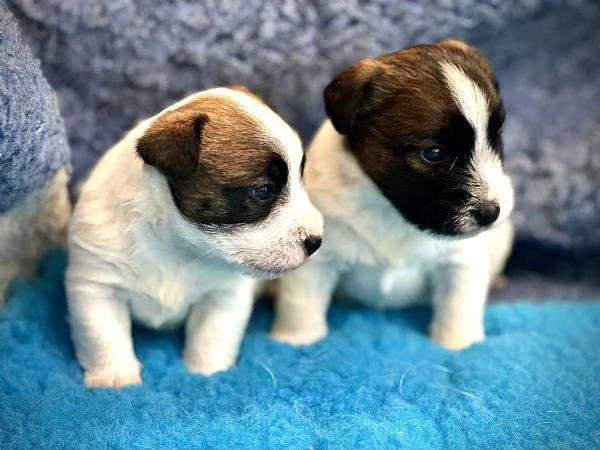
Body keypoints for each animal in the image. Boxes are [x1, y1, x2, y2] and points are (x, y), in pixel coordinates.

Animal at [67, 87, 324, 386]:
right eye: (263, 190)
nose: (317, 242)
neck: (177, 245)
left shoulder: (223, 297)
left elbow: (211, 338)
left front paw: (208, 374)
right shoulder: (97, 287)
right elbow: (104, 337)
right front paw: (115, 377)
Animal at [272, 39, 516, 352]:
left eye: (495, 136)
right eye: (433, 153)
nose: (491, 212)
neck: (389, 210)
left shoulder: (461, 262)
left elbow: (459, 306)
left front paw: (459, 344)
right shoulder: (317, 260)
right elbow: (301, 304)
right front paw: (296, 341)